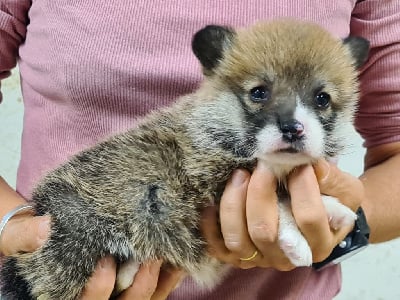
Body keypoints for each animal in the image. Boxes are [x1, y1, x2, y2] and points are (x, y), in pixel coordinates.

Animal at [0, 19, 368, 298]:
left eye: (322, 98)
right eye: (259, 92)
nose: (293, 129)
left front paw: (333, 207)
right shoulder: (207, 185)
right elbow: (280, 203)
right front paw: (296, 239)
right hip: (73, 246)